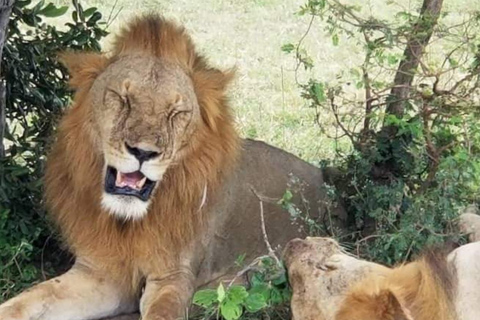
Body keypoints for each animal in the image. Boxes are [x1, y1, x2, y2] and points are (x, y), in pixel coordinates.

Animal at [0, 13, 344, 318]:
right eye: (122, 99)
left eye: (176, 113)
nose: (143, 152)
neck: (128, 223)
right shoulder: (100, 273)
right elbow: (28, 299)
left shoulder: (173, 277)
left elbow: (162, 312)